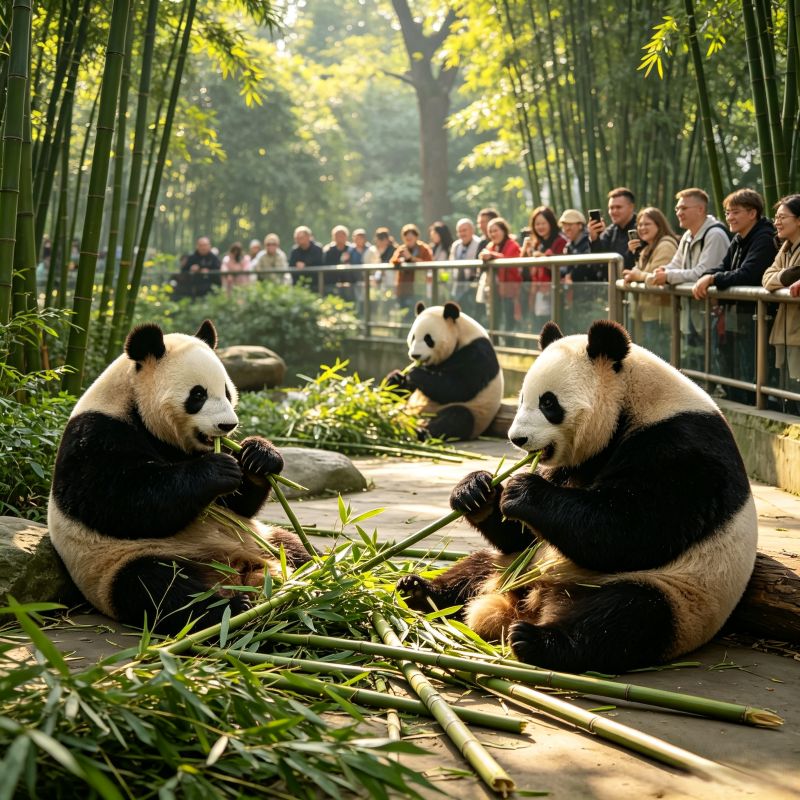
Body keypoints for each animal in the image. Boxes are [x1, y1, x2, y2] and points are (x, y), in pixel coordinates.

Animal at [48, 320, 313, 635]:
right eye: (197, 395)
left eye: (227, 392)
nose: (228, 425)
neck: (135, 407)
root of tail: (237, 572)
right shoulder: (96, 435)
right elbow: (119, 501)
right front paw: (217, 470)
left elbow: (239, 506)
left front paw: (259, 456)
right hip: (119, 565)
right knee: (157, 588)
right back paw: (232, 608)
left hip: (263, 538)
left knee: (293, 546)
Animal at [385, 301, 503, 440]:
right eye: (413, 337)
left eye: (428, 339)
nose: (415, 355)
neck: (462, 334)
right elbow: (404, 390)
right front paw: (396, 377)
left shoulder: (477, 354)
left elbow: (458, 387)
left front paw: (414, 373)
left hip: (474, 414)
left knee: (457, 417)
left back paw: (419, 431)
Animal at [397, 320, 757, 674]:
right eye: (523, 398)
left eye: (548, 403)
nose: (517, 438)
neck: (635, 402)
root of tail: (530, 601)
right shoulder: (575, 463)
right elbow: (523, 533)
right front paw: (476, 490)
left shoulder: (683, 450)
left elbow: (631, 530)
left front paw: (522, 490)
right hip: (513, 564)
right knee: (479, 565)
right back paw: (418, 590)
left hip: (678, 596)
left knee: (626, 617)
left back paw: (536, 640)